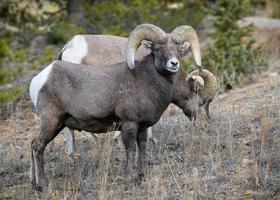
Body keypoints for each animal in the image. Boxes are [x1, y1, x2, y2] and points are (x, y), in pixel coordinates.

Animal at [29, 23, 201, 191]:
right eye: (157, 49)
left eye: (179, 50)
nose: (174, 64)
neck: (146, 81)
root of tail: (39, 79)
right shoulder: (129, 124)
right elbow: (131, 150)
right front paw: (129, 180)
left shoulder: (142, 127)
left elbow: (142, 149)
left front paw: (142, 177)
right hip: (51, 121)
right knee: (38, 146)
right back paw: (43, 184)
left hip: (58, 124)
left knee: (33, 144)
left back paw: (34, 183)